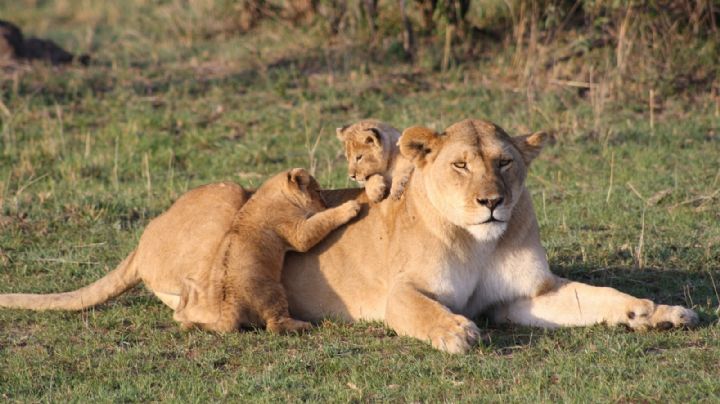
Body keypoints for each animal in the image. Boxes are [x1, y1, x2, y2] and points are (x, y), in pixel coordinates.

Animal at [173, 168, 361, 333]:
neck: (272, 192)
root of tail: (229, 306)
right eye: (318, 191)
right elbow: (321, 221)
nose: (326, 204)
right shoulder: (296, 231)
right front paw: (350, 207)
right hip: (274, 291)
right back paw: (303, 325)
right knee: (274, 326)